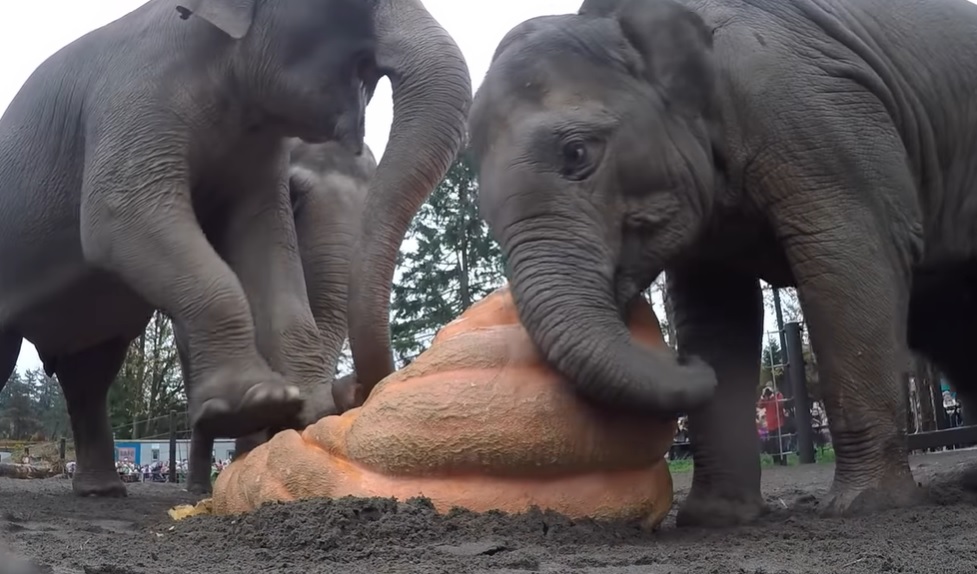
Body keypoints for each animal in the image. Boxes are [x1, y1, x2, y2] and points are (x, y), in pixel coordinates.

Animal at [468, 0, 976, 532]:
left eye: (577, 152)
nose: (680, 360)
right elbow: (716, 312)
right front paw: (715, 518)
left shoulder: (813, 115)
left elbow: (850, 254)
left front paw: (864, 506)